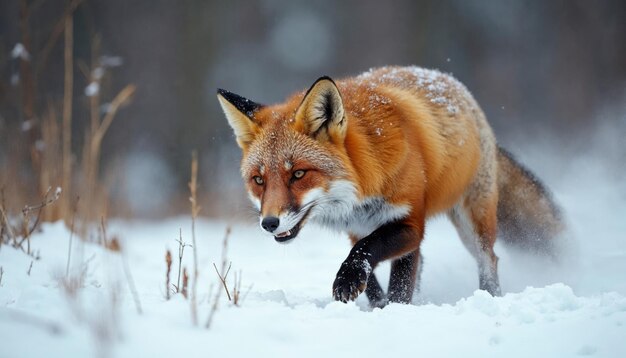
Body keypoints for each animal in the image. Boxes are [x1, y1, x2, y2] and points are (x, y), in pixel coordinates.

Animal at [217, 65, 564, 306]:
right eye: (259, 180)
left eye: (299, 174)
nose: (269, 223)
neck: (363, 183)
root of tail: (454, 84)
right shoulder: (357, 226)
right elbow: (369, 265)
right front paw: (376, 302)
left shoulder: (410, 222)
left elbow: (369, 254)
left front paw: (368, 293)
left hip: (473, 221)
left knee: (488, 259)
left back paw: (489, 296)